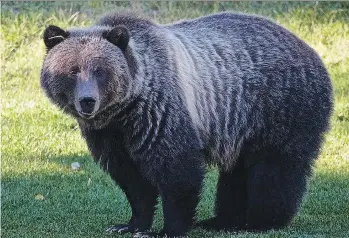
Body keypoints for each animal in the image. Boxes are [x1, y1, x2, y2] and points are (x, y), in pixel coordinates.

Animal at [40, 10, 332, 236]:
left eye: (100, 70)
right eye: (73, 70)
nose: (87, 101)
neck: (125, 110)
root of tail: (310, 50)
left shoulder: (159, 113)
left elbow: (177, 169)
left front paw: (168, 229)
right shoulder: (110, 135)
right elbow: (132, 179)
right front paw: (129, 224)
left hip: (279, 107)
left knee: (274, 169)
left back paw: (260, 221)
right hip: (239, 126)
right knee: (236, 173)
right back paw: (222, 220)